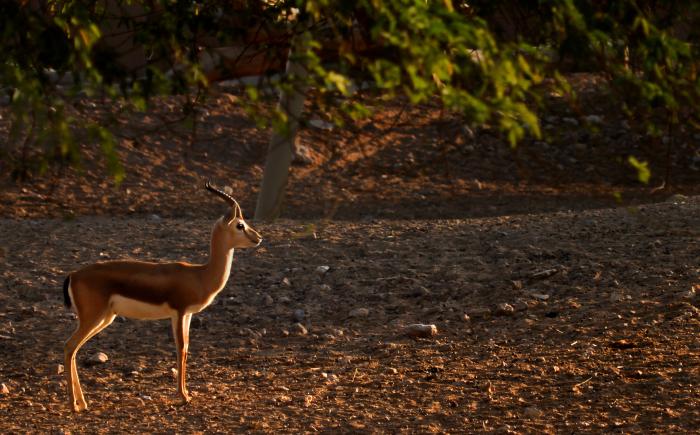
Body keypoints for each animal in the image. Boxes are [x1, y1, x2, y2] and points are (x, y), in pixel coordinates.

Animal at [62, 181, 262, 412]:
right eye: (240, 225)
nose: (258, 238)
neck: (200, 275)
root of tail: (73, 275)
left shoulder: (188, 315)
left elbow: (186, 348)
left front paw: (186, 393)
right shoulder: (179, 312)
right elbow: (180, 348)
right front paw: (183, 396)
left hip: (105, 318)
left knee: (74, 350)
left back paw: (83, 403)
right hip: (93, 318)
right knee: (69, 346)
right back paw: (74, 405)